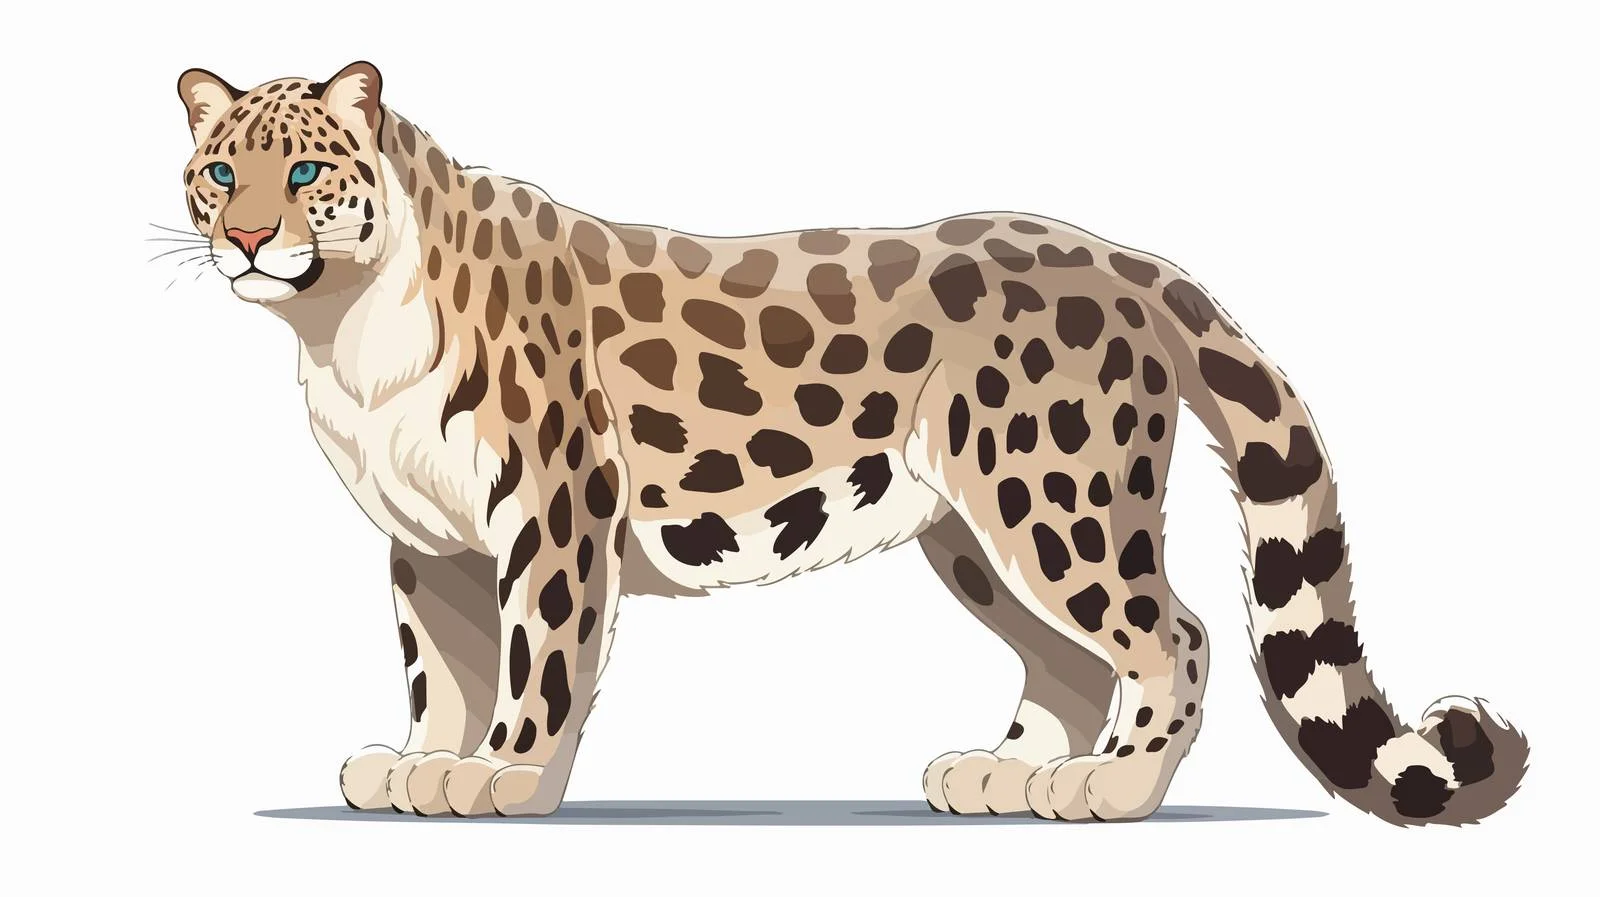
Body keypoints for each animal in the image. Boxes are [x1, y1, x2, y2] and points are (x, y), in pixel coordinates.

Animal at [172, 61, 1528, 824]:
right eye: (217, 174)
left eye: (303, 174)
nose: (244, 239)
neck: (344, 331)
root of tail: (1123, 259)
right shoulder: (428, 542)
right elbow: (441, 671)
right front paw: (417, 763)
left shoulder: (552, 514)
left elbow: (536, 662)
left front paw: (502, 779)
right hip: (973, 529)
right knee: (1072, 659)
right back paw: (1002, 775)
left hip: (1053, 494)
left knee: (1173, 636)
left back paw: (1112, 789)